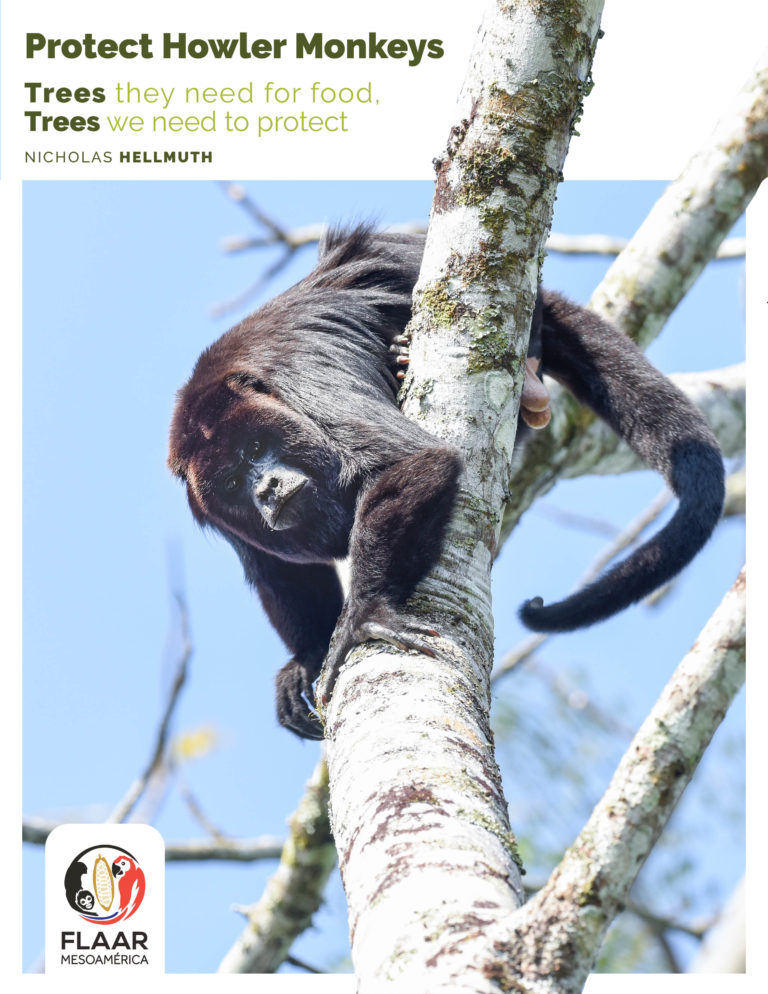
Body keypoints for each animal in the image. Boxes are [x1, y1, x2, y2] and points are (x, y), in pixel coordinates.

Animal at [168, 225, 725, 739]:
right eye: (233, 481)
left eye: (254, 448)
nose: (265, 489)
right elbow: (279, 575)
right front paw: (305, 658)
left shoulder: (302, 381)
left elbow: (409, 461)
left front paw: (365, 613)